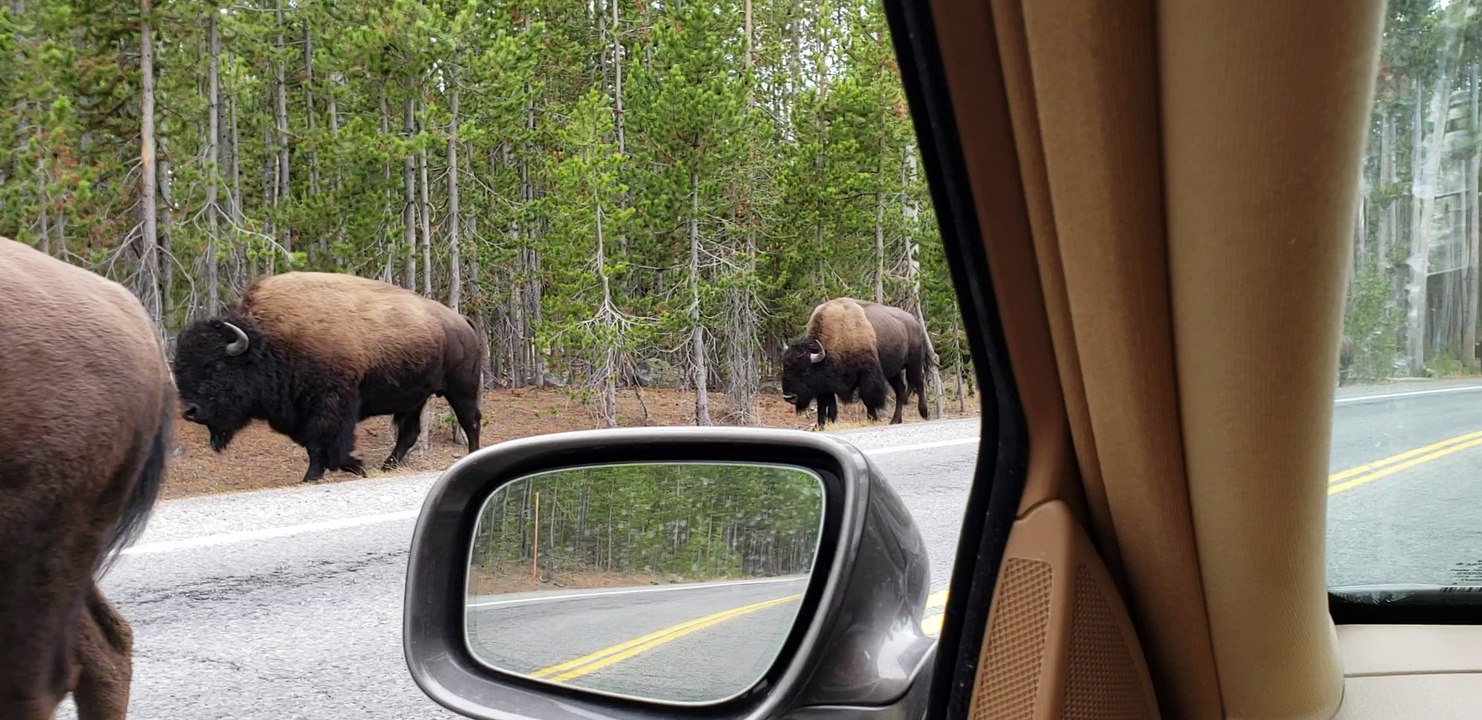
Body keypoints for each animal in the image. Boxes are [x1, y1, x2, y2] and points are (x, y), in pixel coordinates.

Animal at [172, 271, 483, 483]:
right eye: (180, 368)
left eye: (217, 367)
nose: (190, 411)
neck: (270, 340)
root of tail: (463, 321)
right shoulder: (298, 413)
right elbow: (312, 444)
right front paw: (341, 469)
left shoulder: (331, 403)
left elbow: (325, 440)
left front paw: (337, 469)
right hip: (414, 399)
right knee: (409, 432)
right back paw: (388, 466)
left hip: (461, 388)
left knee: (471, 421)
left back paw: (471, 455)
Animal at [780, 298, 929, 429]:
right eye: (784, 368)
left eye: (804, 370)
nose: (788, 397)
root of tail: (916, 324)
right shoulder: (823, 386)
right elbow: (824, 404)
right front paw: (821, 425)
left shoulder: (867, 374)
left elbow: (868, 397)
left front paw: (871, 419)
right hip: (894, 372)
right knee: (900, 390)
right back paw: (895, 420)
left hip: (914, 364)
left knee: (919, 384)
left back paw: (924, 413)